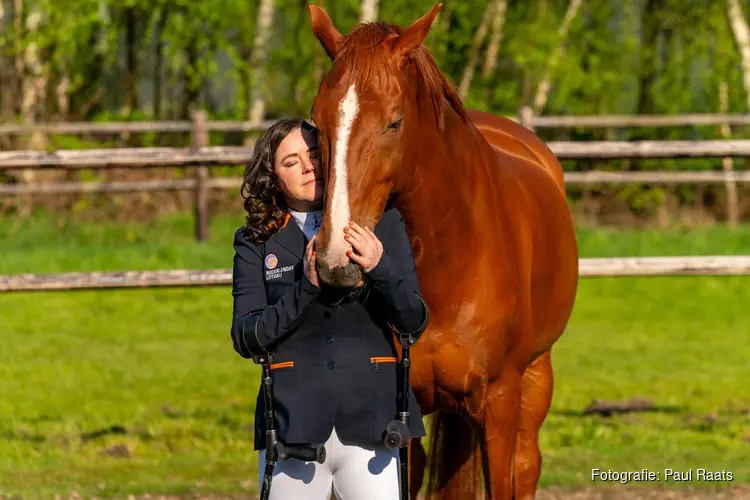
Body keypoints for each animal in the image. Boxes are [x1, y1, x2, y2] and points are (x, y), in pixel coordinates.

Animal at [308, 4, 580, 500]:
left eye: (394, 121)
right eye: (317, 124)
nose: (336, 260)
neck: (448, 264)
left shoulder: (500, 405)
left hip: (537, 376)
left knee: (527, 465)